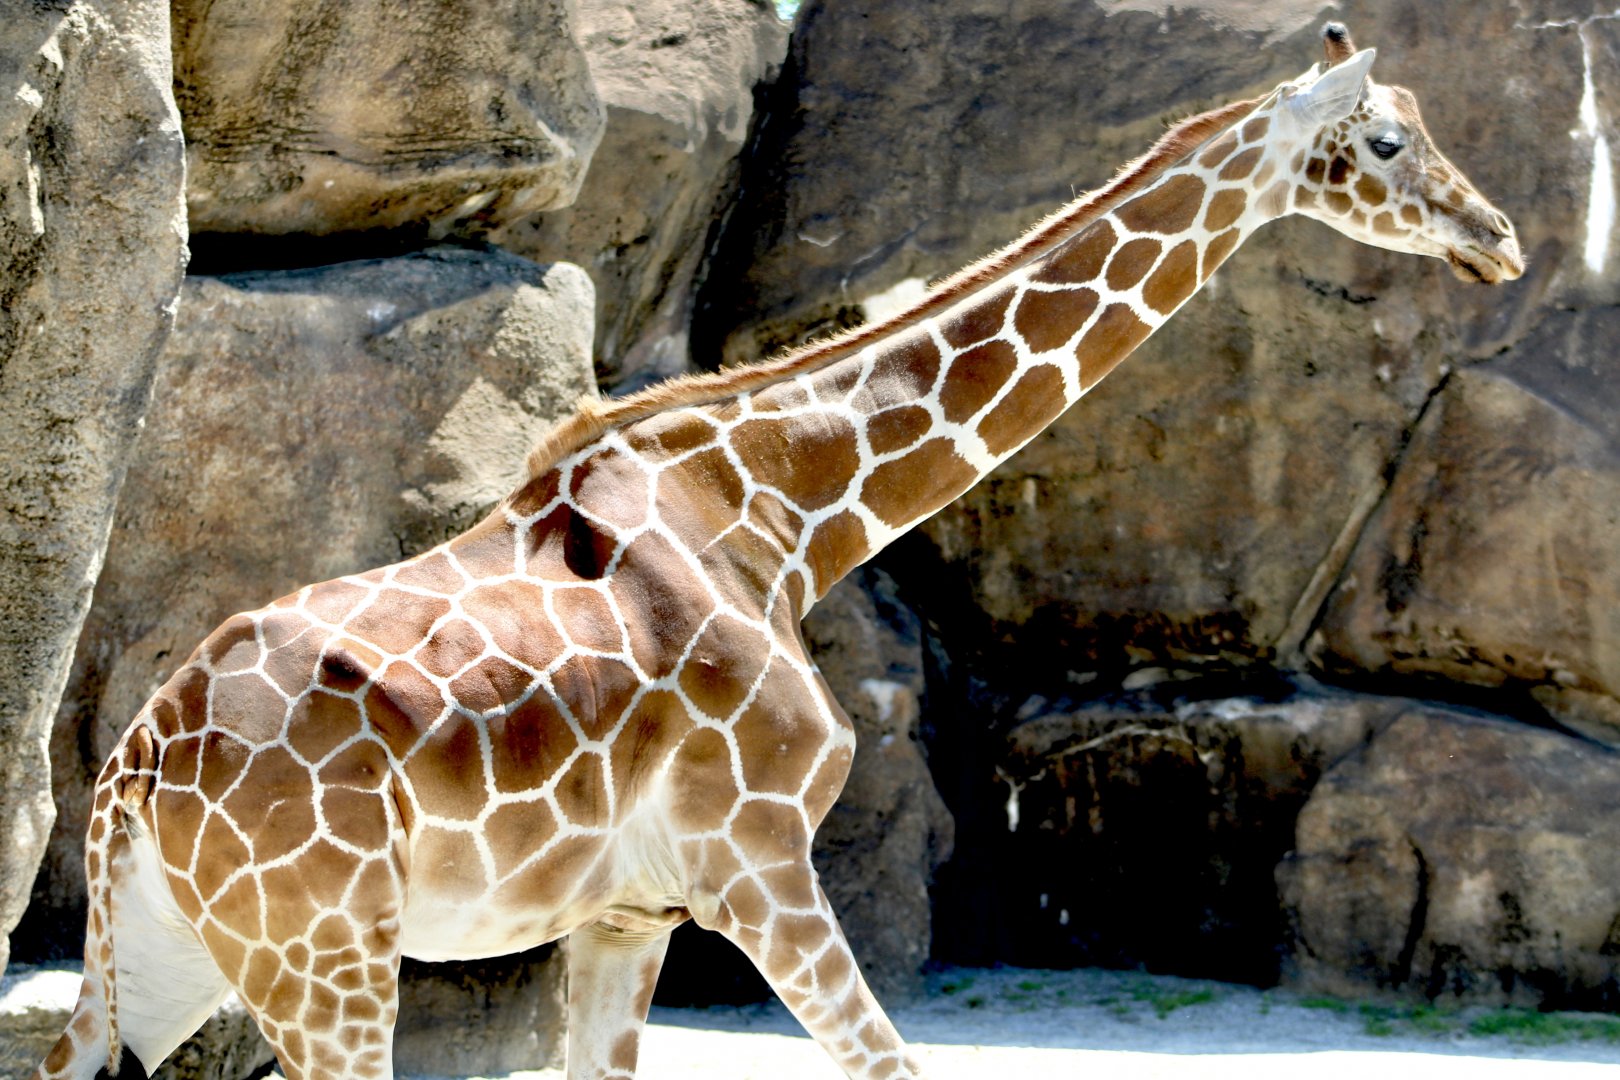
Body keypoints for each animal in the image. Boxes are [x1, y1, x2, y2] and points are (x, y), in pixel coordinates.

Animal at [35, 23, 1520, 1080]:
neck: (790, 518)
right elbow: (895, 1068)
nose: (1499, 236)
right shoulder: (753, 865)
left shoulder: (628, 912)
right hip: (327, 955)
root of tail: (136, 767)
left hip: (171, 961)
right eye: (1388, 140)